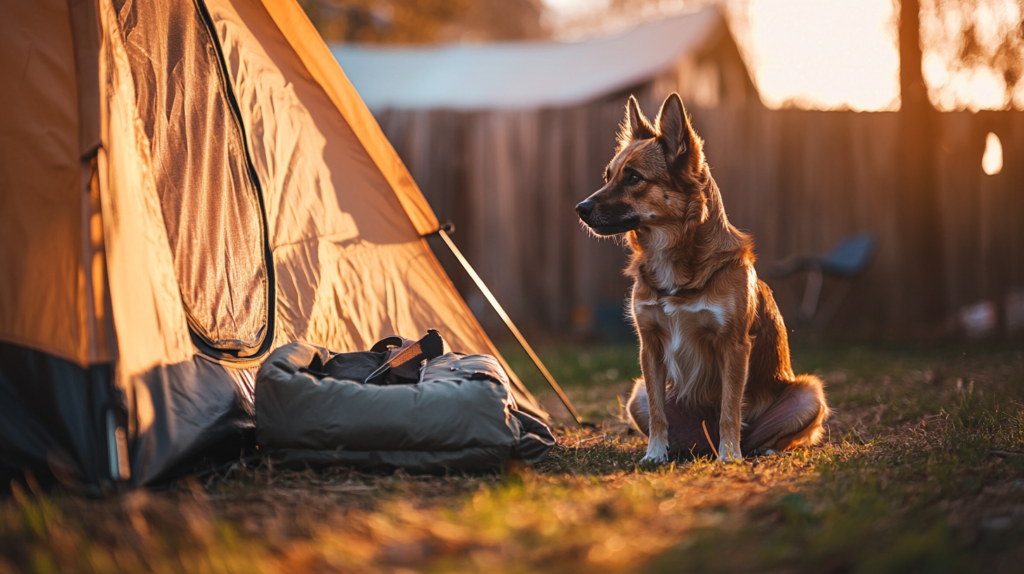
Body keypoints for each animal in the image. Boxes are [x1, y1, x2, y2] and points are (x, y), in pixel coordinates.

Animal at [577, 93, 823, 460]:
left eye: (633, 177)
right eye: (608, 176)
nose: (580, 209)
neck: (675, 258)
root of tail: (703, 445)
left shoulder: (734, 346)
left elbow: (730, 409)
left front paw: (730, 456)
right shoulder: (649, 346)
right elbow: (659, 412)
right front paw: (654, 454)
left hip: (810, 394)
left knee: (764, 436)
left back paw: (755, 451)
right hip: (637, 394)